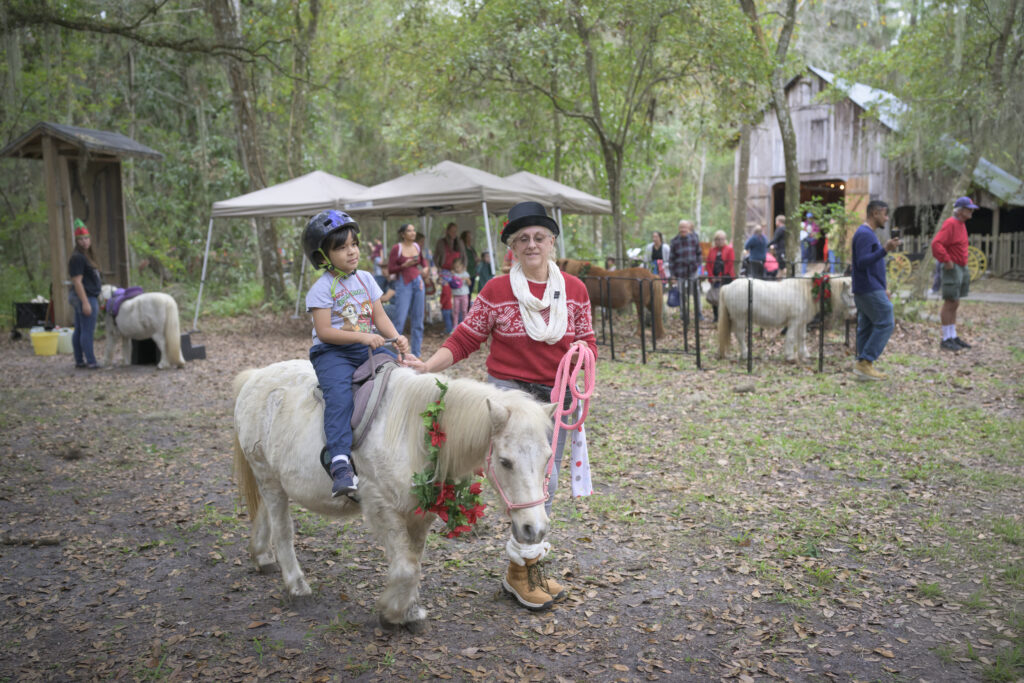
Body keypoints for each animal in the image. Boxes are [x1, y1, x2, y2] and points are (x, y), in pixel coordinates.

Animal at [231, 360, 555, 629]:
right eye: (505, 461)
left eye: (547, 458)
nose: (535, 529)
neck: (415, 432)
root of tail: (255, 377)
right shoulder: (382, 507)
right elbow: (406, 569)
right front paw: (392, 613)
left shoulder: (420, 513)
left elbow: (413, 561)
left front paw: (408, 610)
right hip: (269, 478)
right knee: (283, 531)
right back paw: (296, 586)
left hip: (272, 481)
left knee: (264, 514)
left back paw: (262, 556)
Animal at [716, 276, 854, 363]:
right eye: (850, 295)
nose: (854, 314)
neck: (806, 292)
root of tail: (728, 286)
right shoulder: (794, 322)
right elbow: (791, 338)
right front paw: (790, 356)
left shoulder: (802, 322)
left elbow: (802, 337)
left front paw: (804, 354)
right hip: (739, 318)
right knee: (739, 335)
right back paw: (745, 354)